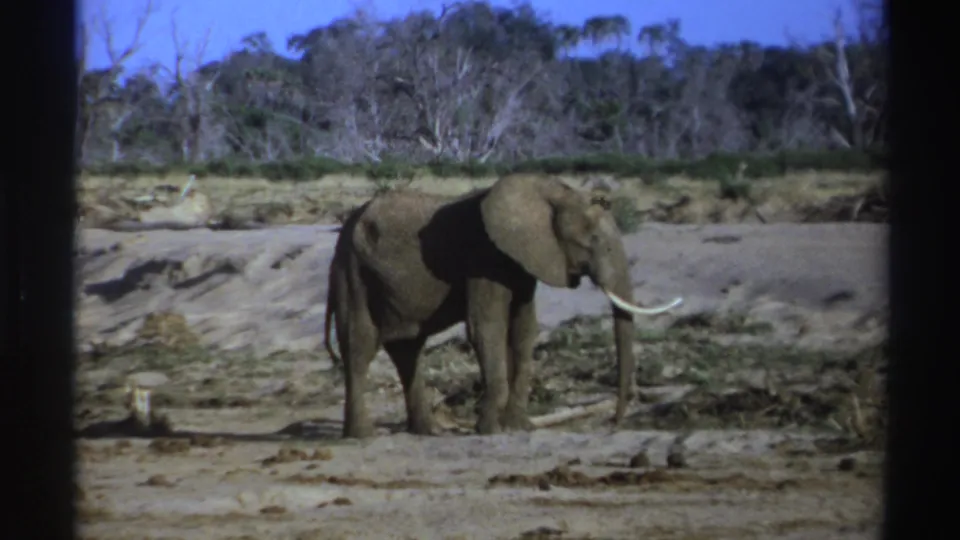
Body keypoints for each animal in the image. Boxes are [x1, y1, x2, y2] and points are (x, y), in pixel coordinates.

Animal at [323, 174, 683, 439]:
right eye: (594, 243)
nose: (615, 422)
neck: (551, 192)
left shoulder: (522, 262)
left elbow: (523, 328)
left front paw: (518, 427)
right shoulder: (485, 258)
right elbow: (487, 327)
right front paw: (490, 430)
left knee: (407, 350)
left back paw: (427, 432)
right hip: (352, 271)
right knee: (360, 346)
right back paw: (363, 436)